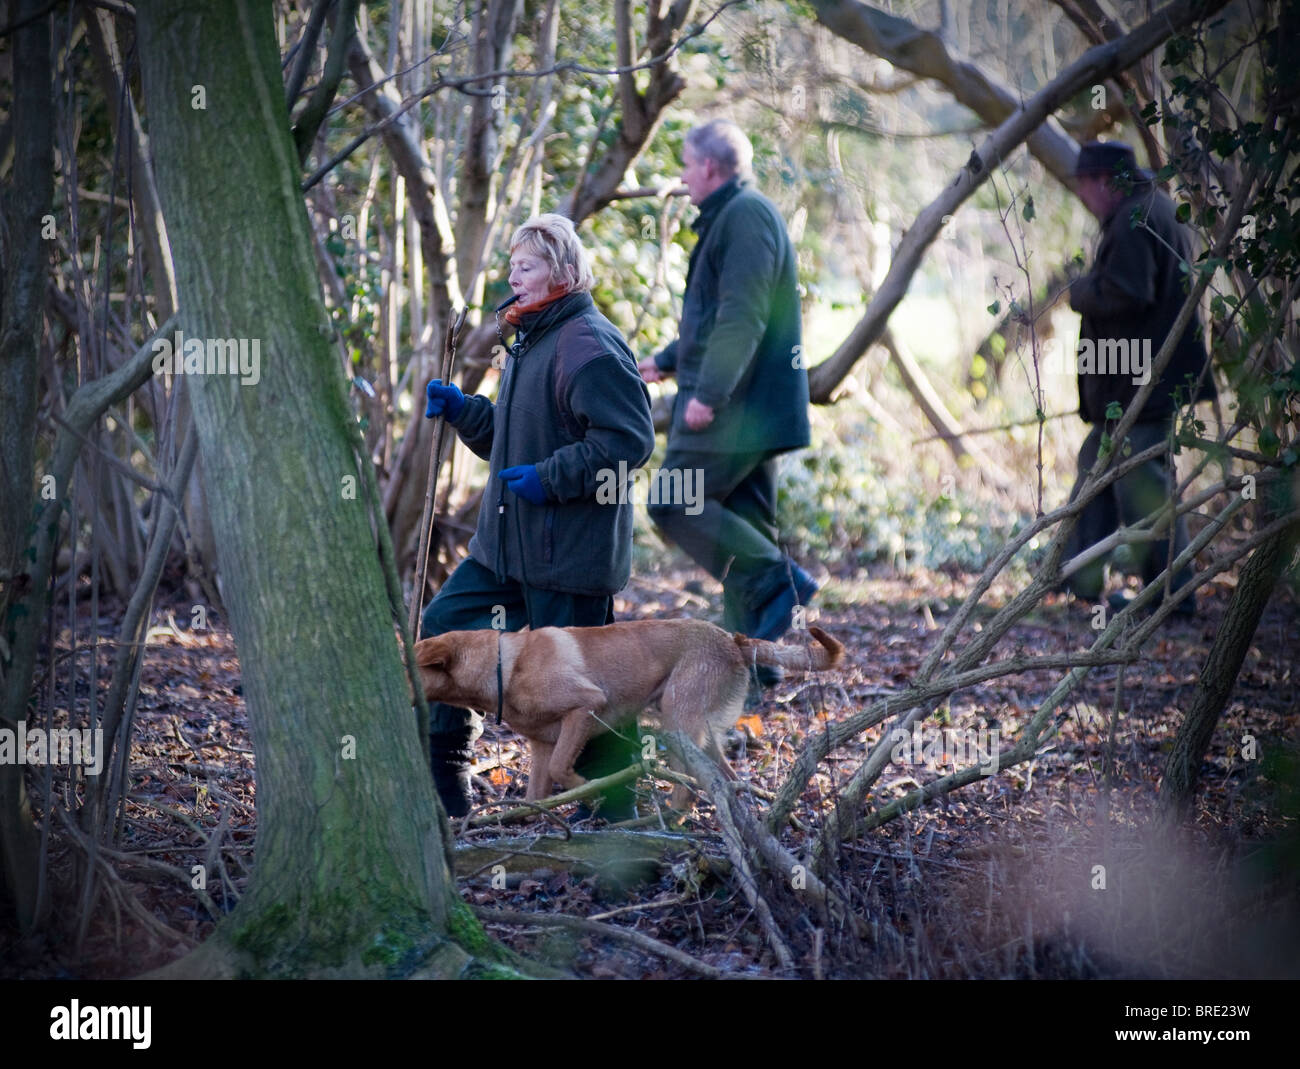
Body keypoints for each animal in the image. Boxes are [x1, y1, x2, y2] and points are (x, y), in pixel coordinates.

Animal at [413, 619, 842, 811]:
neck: (506, 666)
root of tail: (732, 639)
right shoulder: (541, 745)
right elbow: (536, 796)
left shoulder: (586, 706)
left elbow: (562, 770)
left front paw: (589, 789)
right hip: (697, 733)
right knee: (726, 778)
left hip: (676, 724)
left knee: (690, 784)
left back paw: (671, 818)